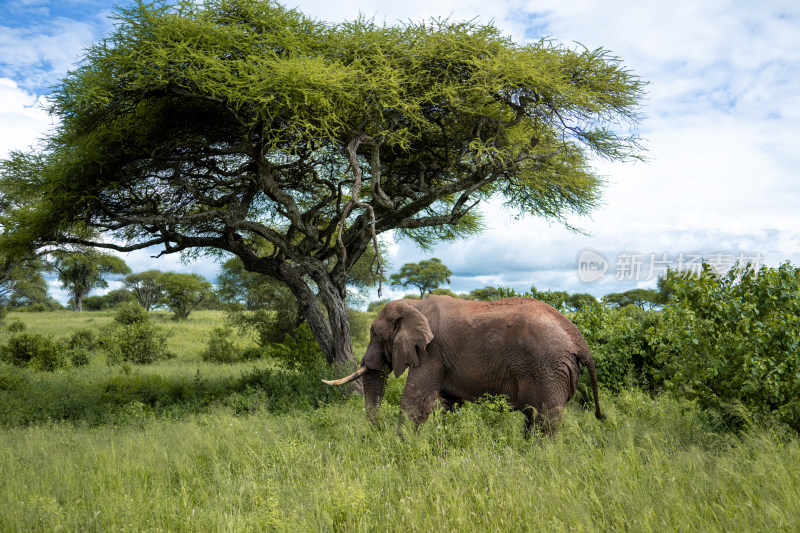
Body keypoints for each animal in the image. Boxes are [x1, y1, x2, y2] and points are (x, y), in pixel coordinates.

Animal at [322, 294, 604, 434]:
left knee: (546, 419)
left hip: (549, 369)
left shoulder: (431, 352)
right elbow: (447, 405)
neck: (413, 304)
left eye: (377, 335)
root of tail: (579, 340)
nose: (374, 433)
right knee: (533, 417)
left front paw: (400, 447)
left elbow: (415, 401)